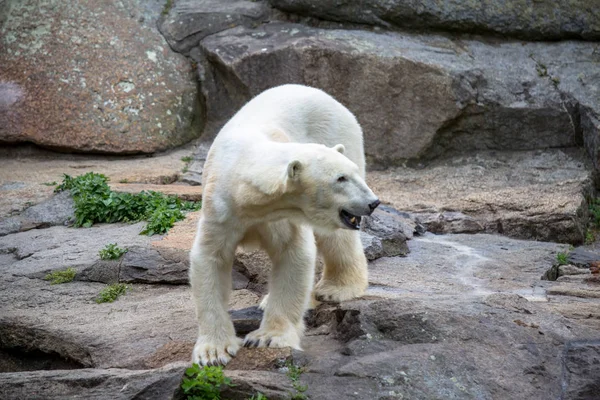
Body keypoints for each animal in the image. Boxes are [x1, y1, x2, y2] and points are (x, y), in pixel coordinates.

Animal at [190, 83, 380, 366]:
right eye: (340, 178)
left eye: (352, 174)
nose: (373, 202)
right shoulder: (221, 208)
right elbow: (210, 259)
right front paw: (213, 352)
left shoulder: (282, 216)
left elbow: (293, 254)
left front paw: (268, 337)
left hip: (338, 131)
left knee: (335, 238)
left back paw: (336, 288)